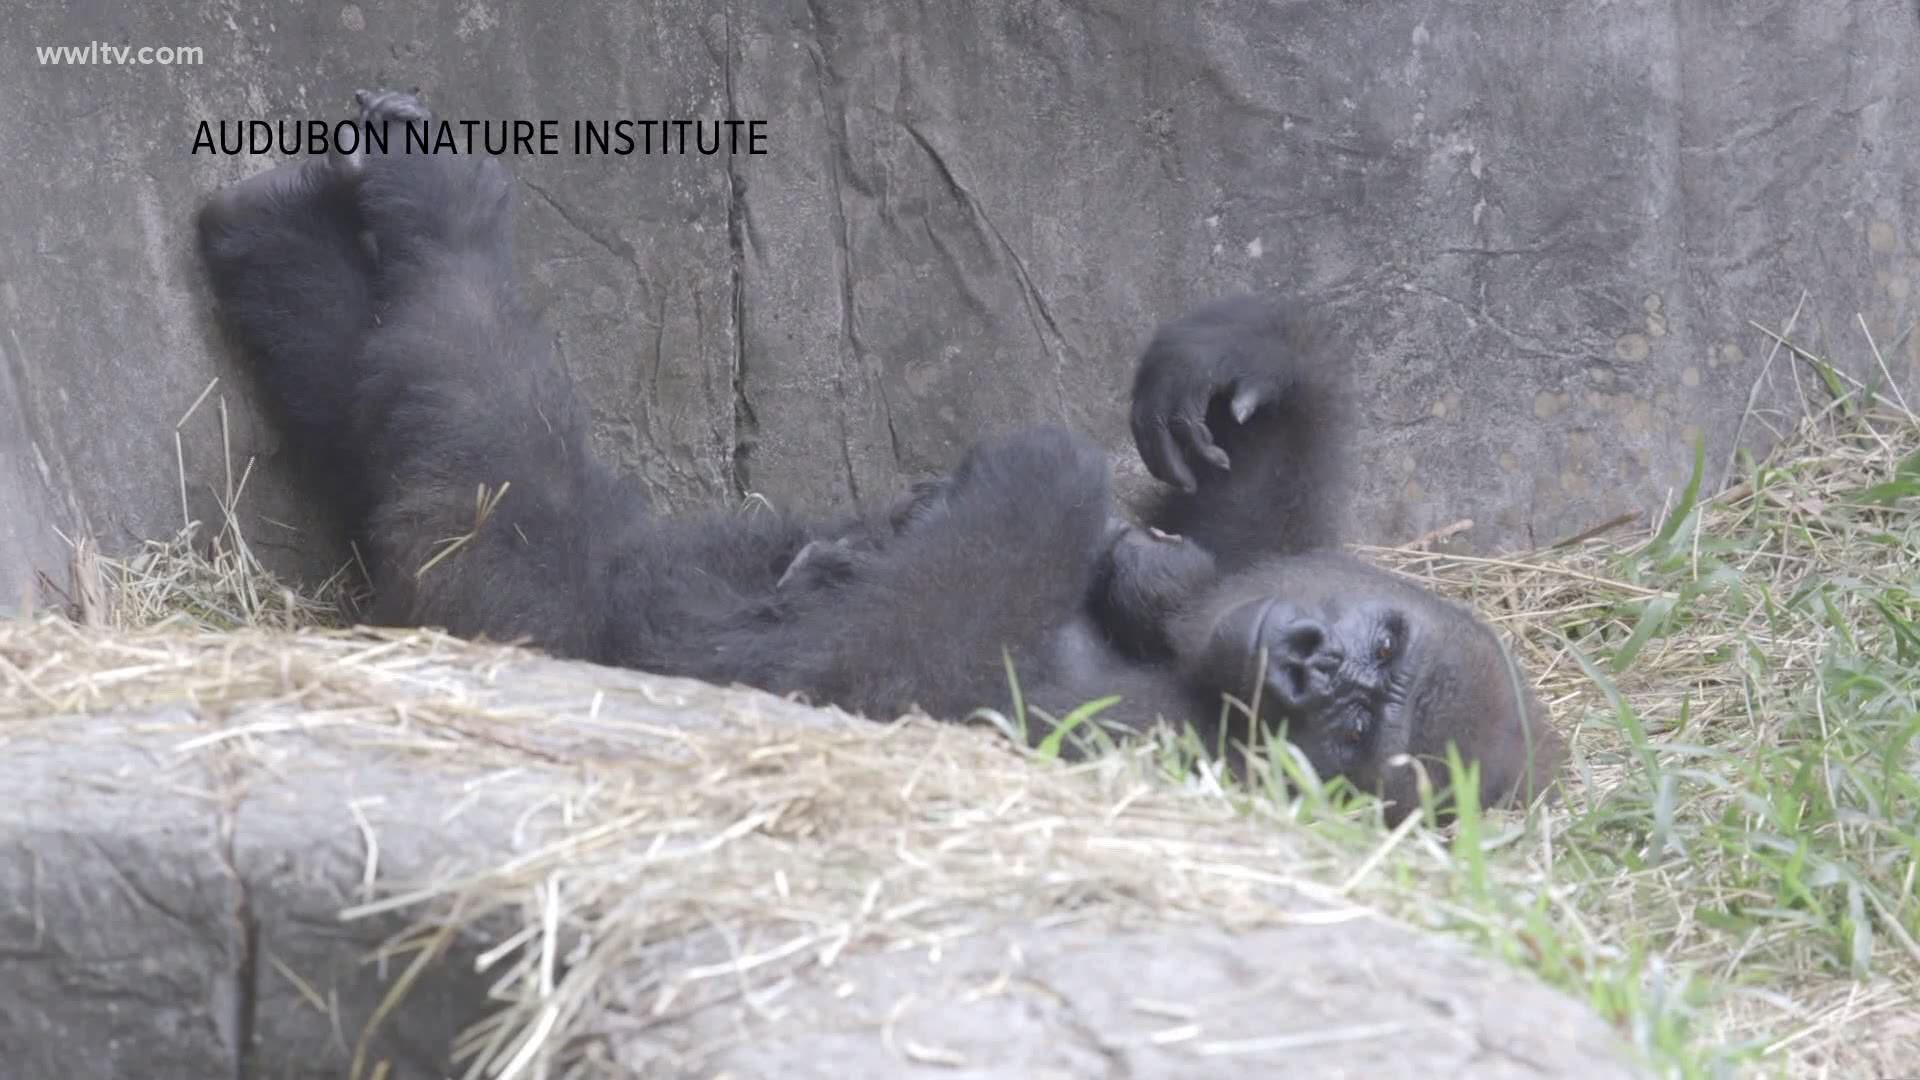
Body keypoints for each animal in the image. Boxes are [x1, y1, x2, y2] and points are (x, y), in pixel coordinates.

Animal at [198, 88, 1559, 818]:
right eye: (1375, 647)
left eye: (1363, 724)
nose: (1317, 663)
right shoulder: (1256, 560)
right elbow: (1255, 500)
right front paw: (1245, 359)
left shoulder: (1133, 744)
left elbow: (872, 673)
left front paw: (1042, 487)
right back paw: (291, 228)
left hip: (500, 620)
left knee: (486, 473)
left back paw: (435, 229)